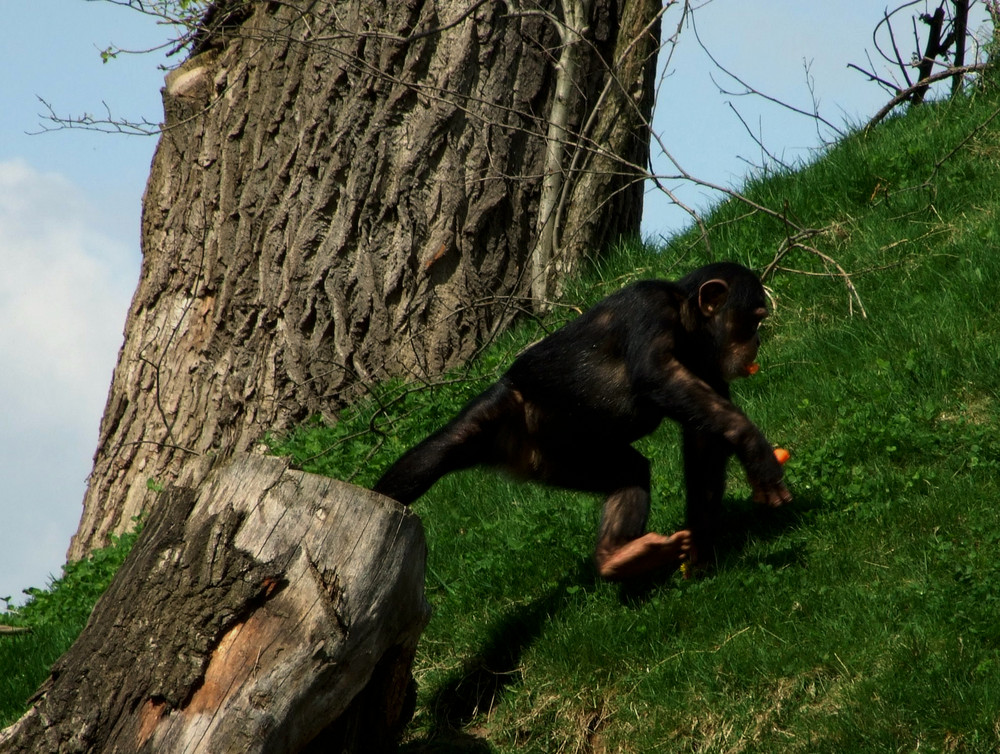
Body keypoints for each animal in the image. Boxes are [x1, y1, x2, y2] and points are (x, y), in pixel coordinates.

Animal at [372, 262, 792, 580]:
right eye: (753, 319)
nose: (757, 341)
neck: (688, 322)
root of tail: (525, 455)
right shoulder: (649, 308)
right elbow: (657, 374)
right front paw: (756, 449)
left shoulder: (711, 369)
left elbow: (706, 437)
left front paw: (701, 549)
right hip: (503, 412)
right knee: (436, 453)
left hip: (568, 462)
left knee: (629, 472)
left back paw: (618, 557)